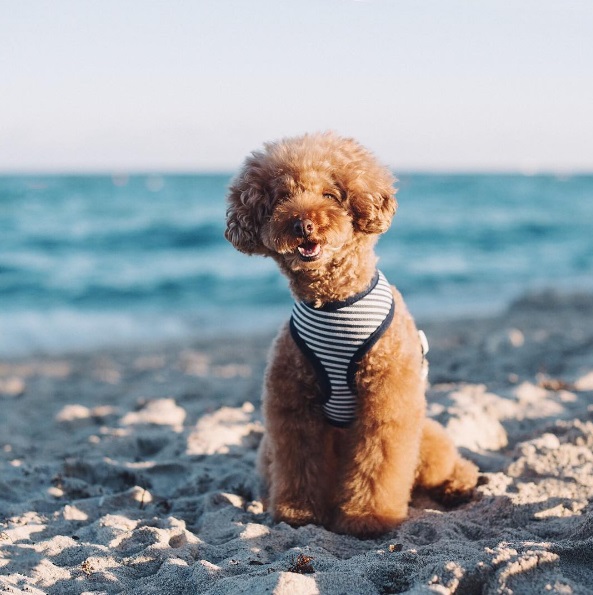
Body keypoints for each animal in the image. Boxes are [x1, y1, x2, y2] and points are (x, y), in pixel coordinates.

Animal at [224, 133, 478, 536]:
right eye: (281, 198)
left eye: (330, 195)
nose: (303, 224)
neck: (335, 304)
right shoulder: (294, 406)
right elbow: (299, 462)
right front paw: (298, 513)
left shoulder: (388, 402)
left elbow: (378, 462)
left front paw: (367, 517)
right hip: (269, 450)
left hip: (426, 435)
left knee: (448, 463)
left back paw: (458, 485)